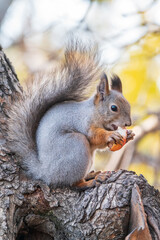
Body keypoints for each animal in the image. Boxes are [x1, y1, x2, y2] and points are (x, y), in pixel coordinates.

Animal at [6, 40, 134, 189]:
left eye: (129, 105)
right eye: (114, 108)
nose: (128, 124)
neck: (94, 112)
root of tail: (45, 172)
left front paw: (129, 136)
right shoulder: (84, 122)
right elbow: (95, 136)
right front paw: (111, 135)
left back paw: (91, 174)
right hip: (76, 147)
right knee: (74, 183)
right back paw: (90, 181)